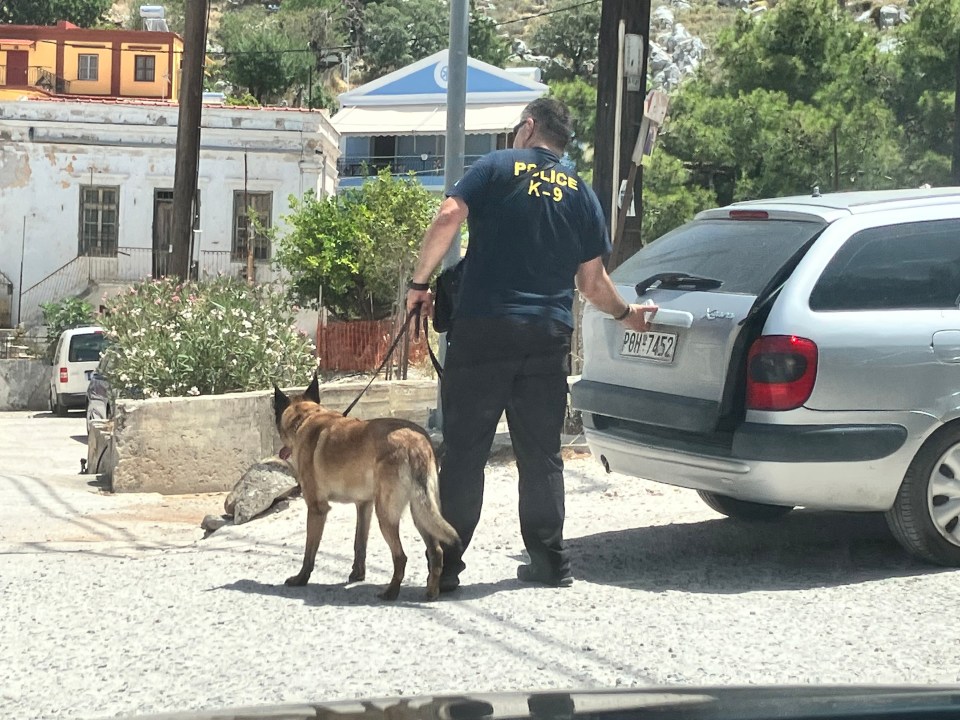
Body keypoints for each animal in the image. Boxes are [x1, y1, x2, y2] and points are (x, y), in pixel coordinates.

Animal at [274, 374, 462, 600]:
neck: (305, 418)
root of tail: (415, 443)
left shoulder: (317, 509)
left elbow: (309, 551)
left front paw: (301, 579)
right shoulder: (364, 505)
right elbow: (359, 544)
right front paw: (357, 574)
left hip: (386, 516)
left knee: (401, 557)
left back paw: (391, 592)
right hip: (420, 513)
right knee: (436, 552)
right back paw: (432, 591)